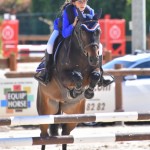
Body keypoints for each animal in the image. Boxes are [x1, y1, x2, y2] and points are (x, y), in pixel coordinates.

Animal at [36, 9, 102, 150]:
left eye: (98, 31)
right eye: (82, 31)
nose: (94, 58)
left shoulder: (94, 70)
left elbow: (95, 76)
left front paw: (88, 92)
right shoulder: (63, 77)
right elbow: (77, 76)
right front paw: (76, 91)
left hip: (74, 113)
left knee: (66, 134)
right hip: (46, 110)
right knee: (43, 135)